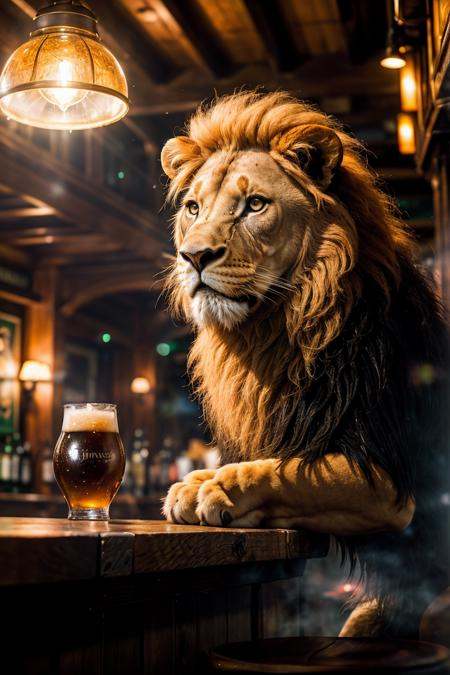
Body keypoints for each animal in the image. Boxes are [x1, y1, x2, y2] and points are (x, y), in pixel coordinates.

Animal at [160, 91, 448, 638]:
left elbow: (287, 469)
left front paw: (215, 486)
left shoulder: (389, 482)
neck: (278, 332)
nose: (194, 256)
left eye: (254, 205)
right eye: (193, 207)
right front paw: (200, 480)